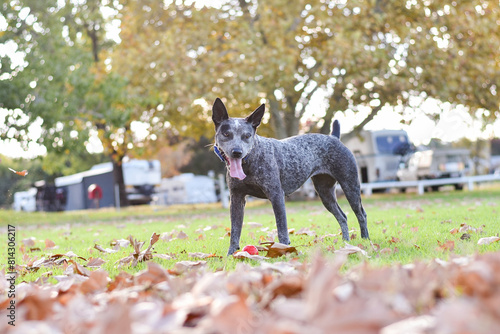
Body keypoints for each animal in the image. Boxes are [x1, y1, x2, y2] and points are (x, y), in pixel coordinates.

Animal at [212, 98, 372, 254]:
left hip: (350, 187)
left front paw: (284, 250)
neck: (250, 160)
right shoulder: (236, 199)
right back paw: (346, 242)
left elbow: (282, 229)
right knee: (342, 216)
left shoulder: (276, 196)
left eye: (247, 136)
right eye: (226, 134)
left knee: (361, 214)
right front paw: (231, 254)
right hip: (325, 194)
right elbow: (235, 231)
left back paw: (365, 239)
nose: (237, 152)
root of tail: (334, 138)